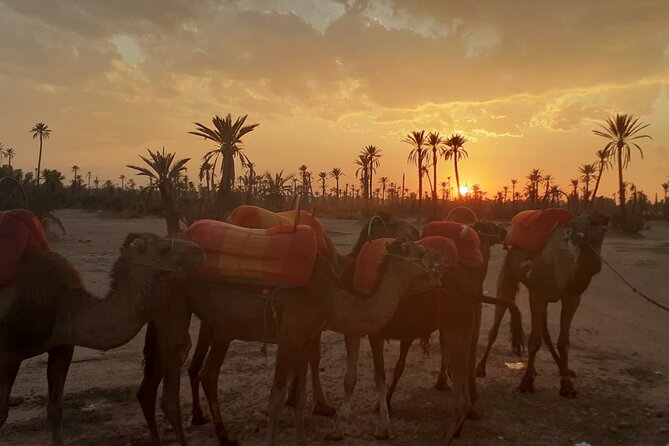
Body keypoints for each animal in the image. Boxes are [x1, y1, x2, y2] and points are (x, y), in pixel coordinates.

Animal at [0, 232, 204, 446]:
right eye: (163, 248)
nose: (198, 250)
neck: (64, 306)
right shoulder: (8, 354)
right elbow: (1, 415)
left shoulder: (61, 347)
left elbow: (55, 410)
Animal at [138, 235, 443, 446]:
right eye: (420, 252)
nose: (440, 267)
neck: (330, 296)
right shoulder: (289, 335)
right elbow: (276, 397)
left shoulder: (306, 337)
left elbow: (299, 395)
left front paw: (303, 439)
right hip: (178, 311)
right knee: (182, 380)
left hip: (217, 326)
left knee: (202, 374)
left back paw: (224, 435)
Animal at [476, 210, 609, 397]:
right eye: (575, 223)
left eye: (596, 222)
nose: (577, 236)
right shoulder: (537, 295)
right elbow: (534, 340)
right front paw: (526, 382)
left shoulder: (572, 299)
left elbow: (563, 342)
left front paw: (567, 385)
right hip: (509, 273)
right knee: (498, 319)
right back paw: (481, 368)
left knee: (545, 331)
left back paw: (562, 369)